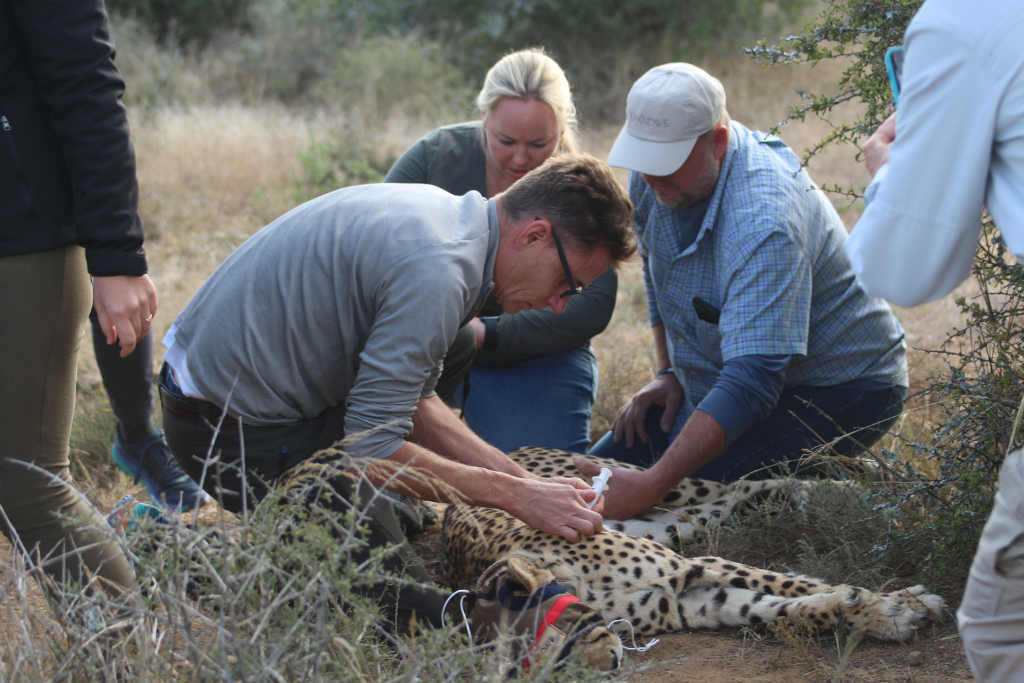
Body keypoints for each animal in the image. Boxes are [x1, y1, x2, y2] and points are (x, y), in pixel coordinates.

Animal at [440, 448, 942, 643]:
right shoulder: (689, 603)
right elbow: (782, 607)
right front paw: (877, 615)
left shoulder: (694, 566)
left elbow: (791, 583)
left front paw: (902, 601)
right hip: (670, 526)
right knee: (728, 499)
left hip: (629, 482)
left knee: (730, 482)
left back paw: (861, 485)